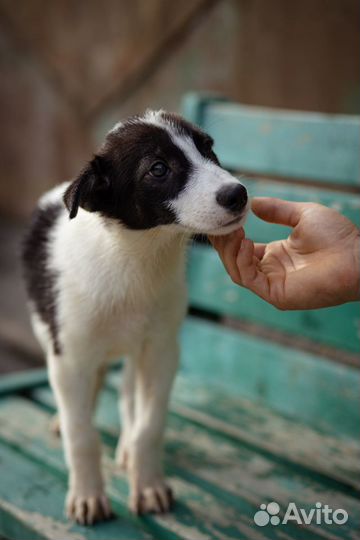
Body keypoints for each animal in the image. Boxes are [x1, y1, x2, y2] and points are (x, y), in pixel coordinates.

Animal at [22, 109, 248, 524]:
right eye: (158, 169)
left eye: (208, 148)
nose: (237, 194)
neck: (133, 260)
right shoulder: (69, 356)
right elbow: (82, 434)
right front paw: (88, 496)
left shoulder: (161, 349)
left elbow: (149, 426)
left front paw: (148, 486)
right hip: (51, 333)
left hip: (137, 349)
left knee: (127, 393)